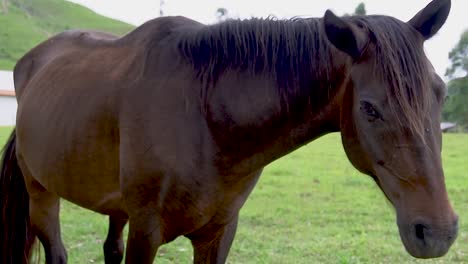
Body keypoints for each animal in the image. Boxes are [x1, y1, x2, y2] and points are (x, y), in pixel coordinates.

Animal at [0, 0, 458, 262]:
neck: (203, 115)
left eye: (440, 92)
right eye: (369, 108)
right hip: (42, 195)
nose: (438, 233)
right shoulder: (147, 232)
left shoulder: (219, 233)